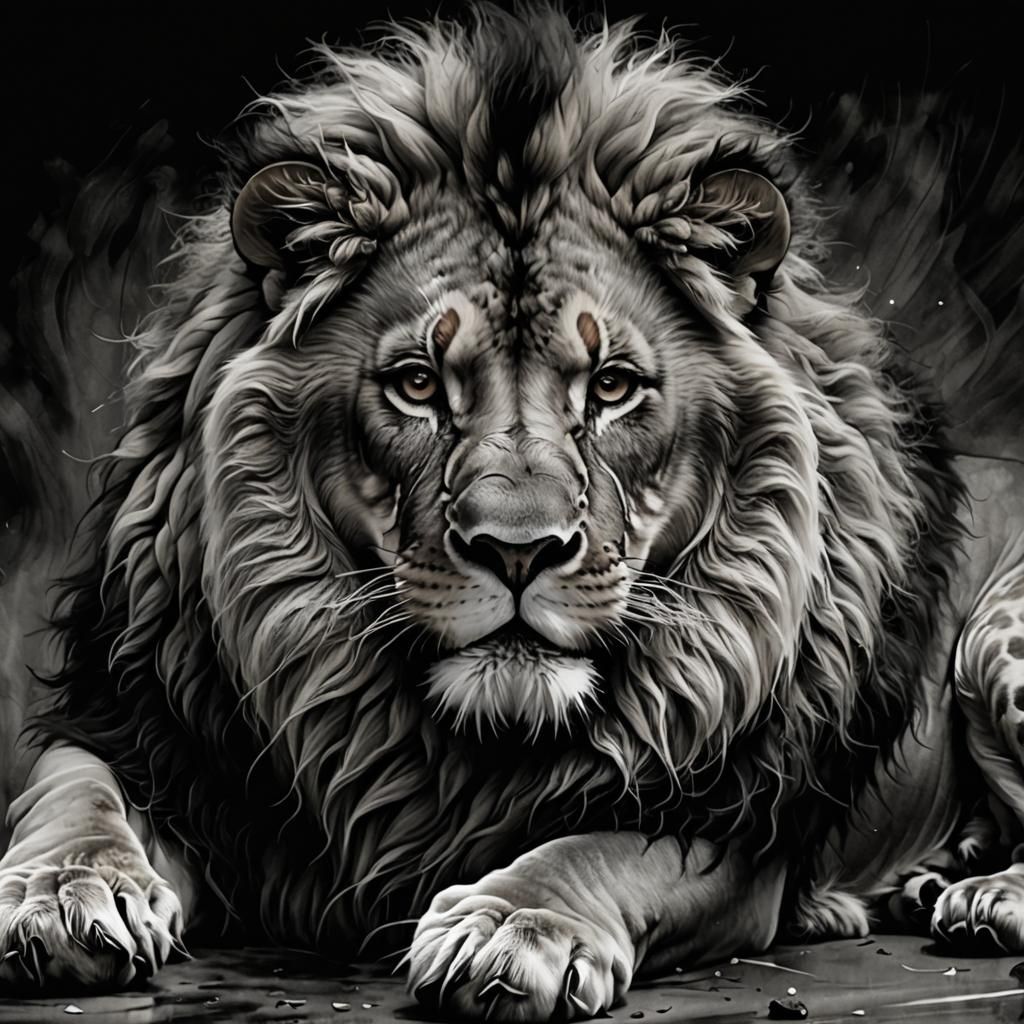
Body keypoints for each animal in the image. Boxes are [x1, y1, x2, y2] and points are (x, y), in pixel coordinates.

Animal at [2, 4, 1024, 1019]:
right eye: (418, 384)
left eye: (612, 387)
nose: (519, 551)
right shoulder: (147, 729)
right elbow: (72, 789)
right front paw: (63, 891)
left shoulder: (729, 819)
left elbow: (596, 847)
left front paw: (513, 928)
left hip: (996, 635)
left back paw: (985, 898)